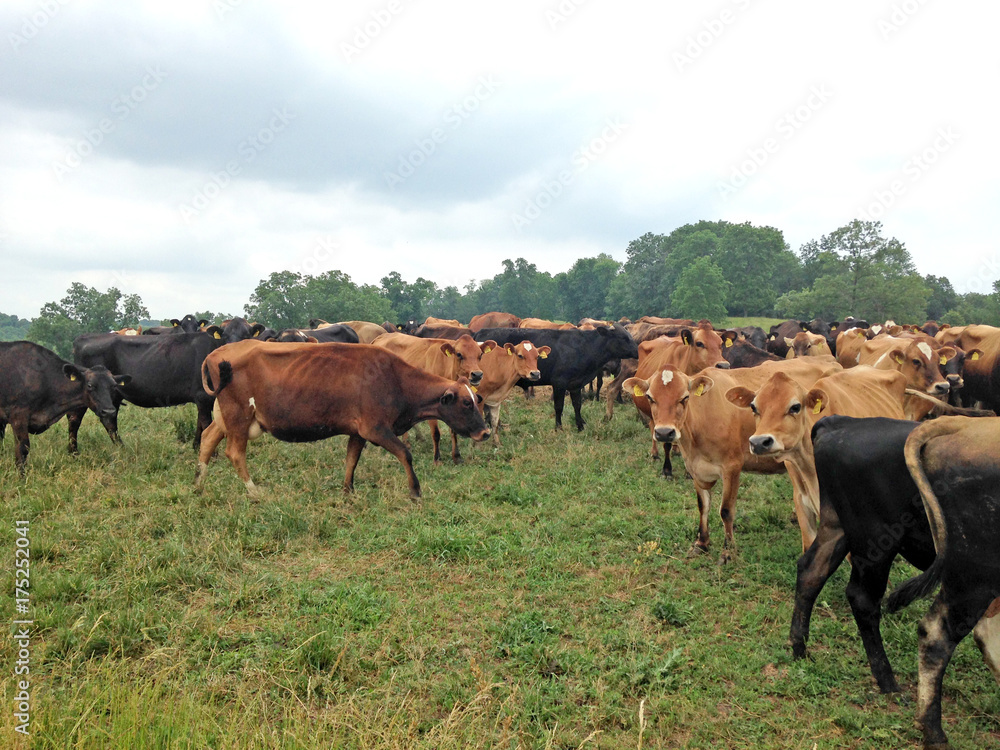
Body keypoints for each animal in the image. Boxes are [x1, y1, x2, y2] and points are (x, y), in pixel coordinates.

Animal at [0, 342, 131, 472]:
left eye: (114, 386)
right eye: (90, 385)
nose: (109, 411)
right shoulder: (18, 416)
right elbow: (23, 449)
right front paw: (22, 476)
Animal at [194, 342, 488, 500]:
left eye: (478, 398)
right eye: (466, 403)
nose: (485, 433)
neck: (396, 379)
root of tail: (215, 353)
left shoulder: (358, 432)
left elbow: (351, 460)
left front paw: (348, 491)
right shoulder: (375, 429)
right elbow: (405, 453)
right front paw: (415, 491)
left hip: (226, 418)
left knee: (207, 440)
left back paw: (198, 483)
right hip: (238, 416)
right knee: (234, 453)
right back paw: (253, 490)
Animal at [372, 334, 496, 464]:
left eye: (480, 354)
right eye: (459, 354)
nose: (477, 375)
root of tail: (382, 336)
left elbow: (453, 430)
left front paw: (456, 457)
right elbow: (436, 433)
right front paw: (437, 459)